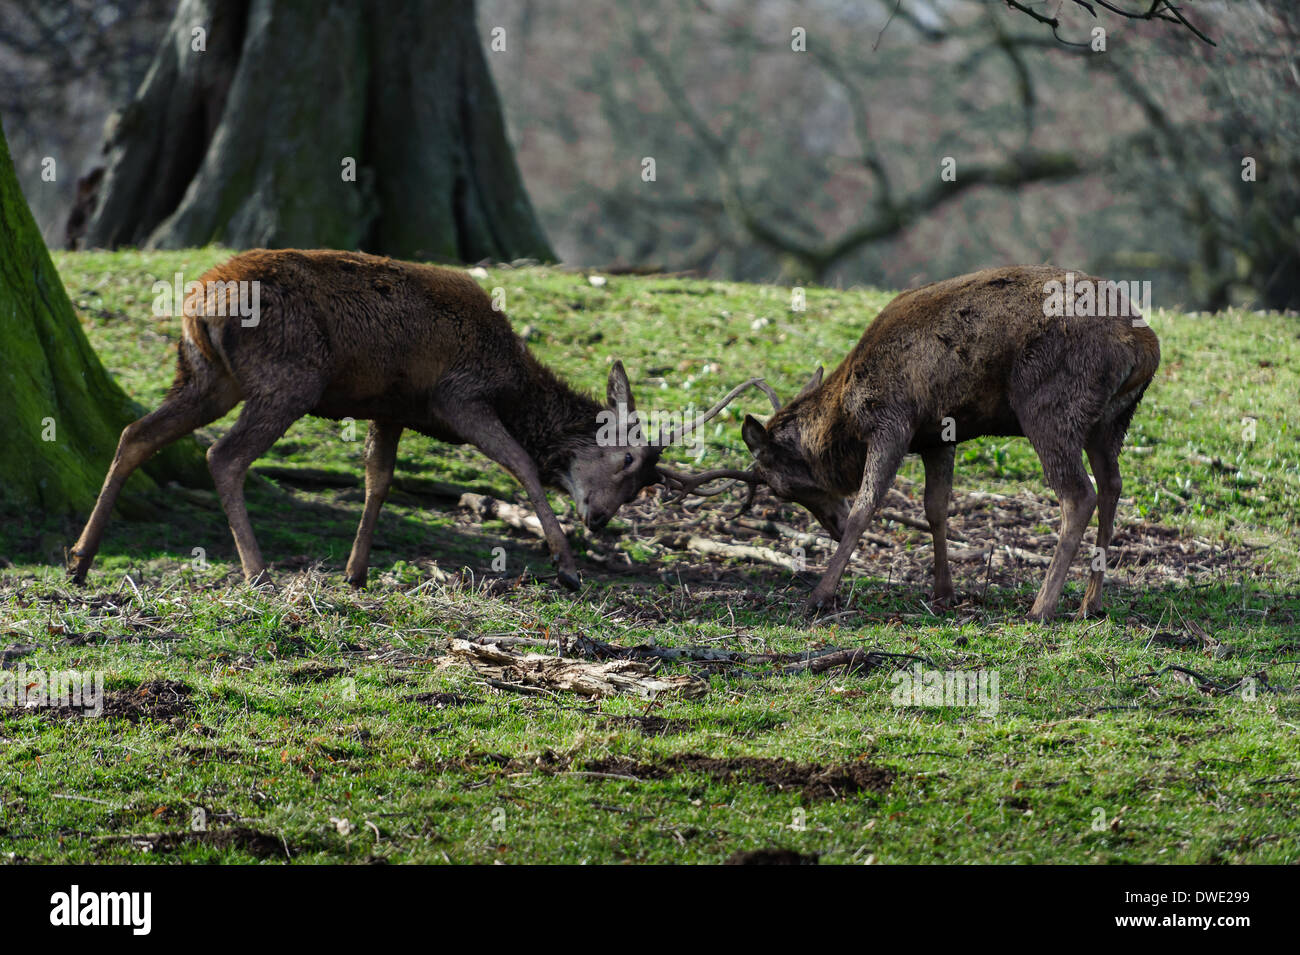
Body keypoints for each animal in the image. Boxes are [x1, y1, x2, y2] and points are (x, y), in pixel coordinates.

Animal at [68, 249, 760, 590]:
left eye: (645, 483)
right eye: (627, 460)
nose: (599, 519)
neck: (508, 376)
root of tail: (198, 303)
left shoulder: (391, 407)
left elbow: (378, 480)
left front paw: (356, 572)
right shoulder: (456, 397)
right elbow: (521, 464)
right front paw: (566, 567)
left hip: (206, 375)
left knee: (135, 433)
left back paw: (79, 560)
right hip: (290, 375)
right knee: (224, 455)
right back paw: (256, 571)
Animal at [666, 266, 1161, 621]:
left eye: (782, 487)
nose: (831, 524)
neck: (845, 416)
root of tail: (1144, 347)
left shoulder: (892, 421)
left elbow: (867, 506)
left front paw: (820, 595)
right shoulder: (939, 435)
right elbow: (935, 508)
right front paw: (944, 592)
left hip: (1049, 406)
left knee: (1079, 494)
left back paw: (1042, 607)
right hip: (1110, 422)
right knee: (1113, 485)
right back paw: (1091, 603)